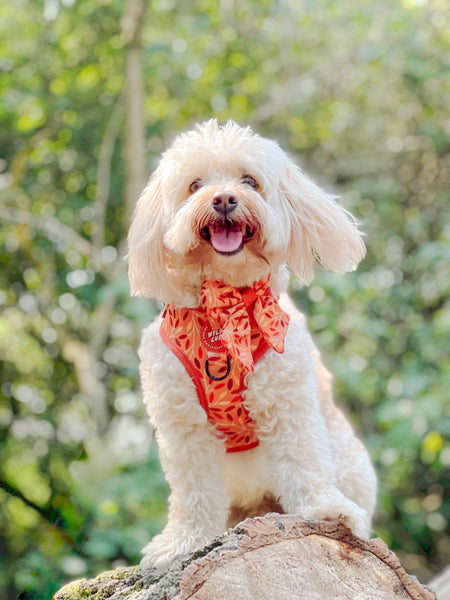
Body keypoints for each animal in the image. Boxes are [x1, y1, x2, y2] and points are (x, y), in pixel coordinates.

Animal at [126, 118, 376, 572]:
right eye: (194, 185)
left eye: (249, 181)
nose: (224, 198)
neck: (223, 310)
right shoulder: (182, 426)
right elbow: (192, 490)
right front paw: (184, 540)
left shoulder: (290, 401)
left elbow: (304, 459)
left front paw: (325, 509)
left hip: (350, 461)